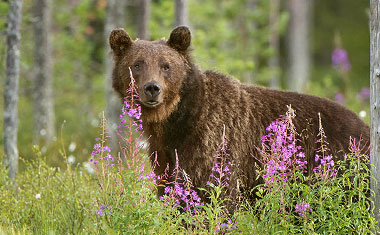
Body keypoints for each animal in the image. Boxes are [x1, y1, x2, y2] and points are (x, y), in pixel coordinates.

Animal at [108, 26, 370, 204]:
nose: (152, 88)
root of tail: (365, 127)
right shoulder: (164, 154)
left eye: (166, 65)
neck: (178, 122)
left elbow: (214, 195)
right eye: (137, 64)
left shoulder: (215, 145)